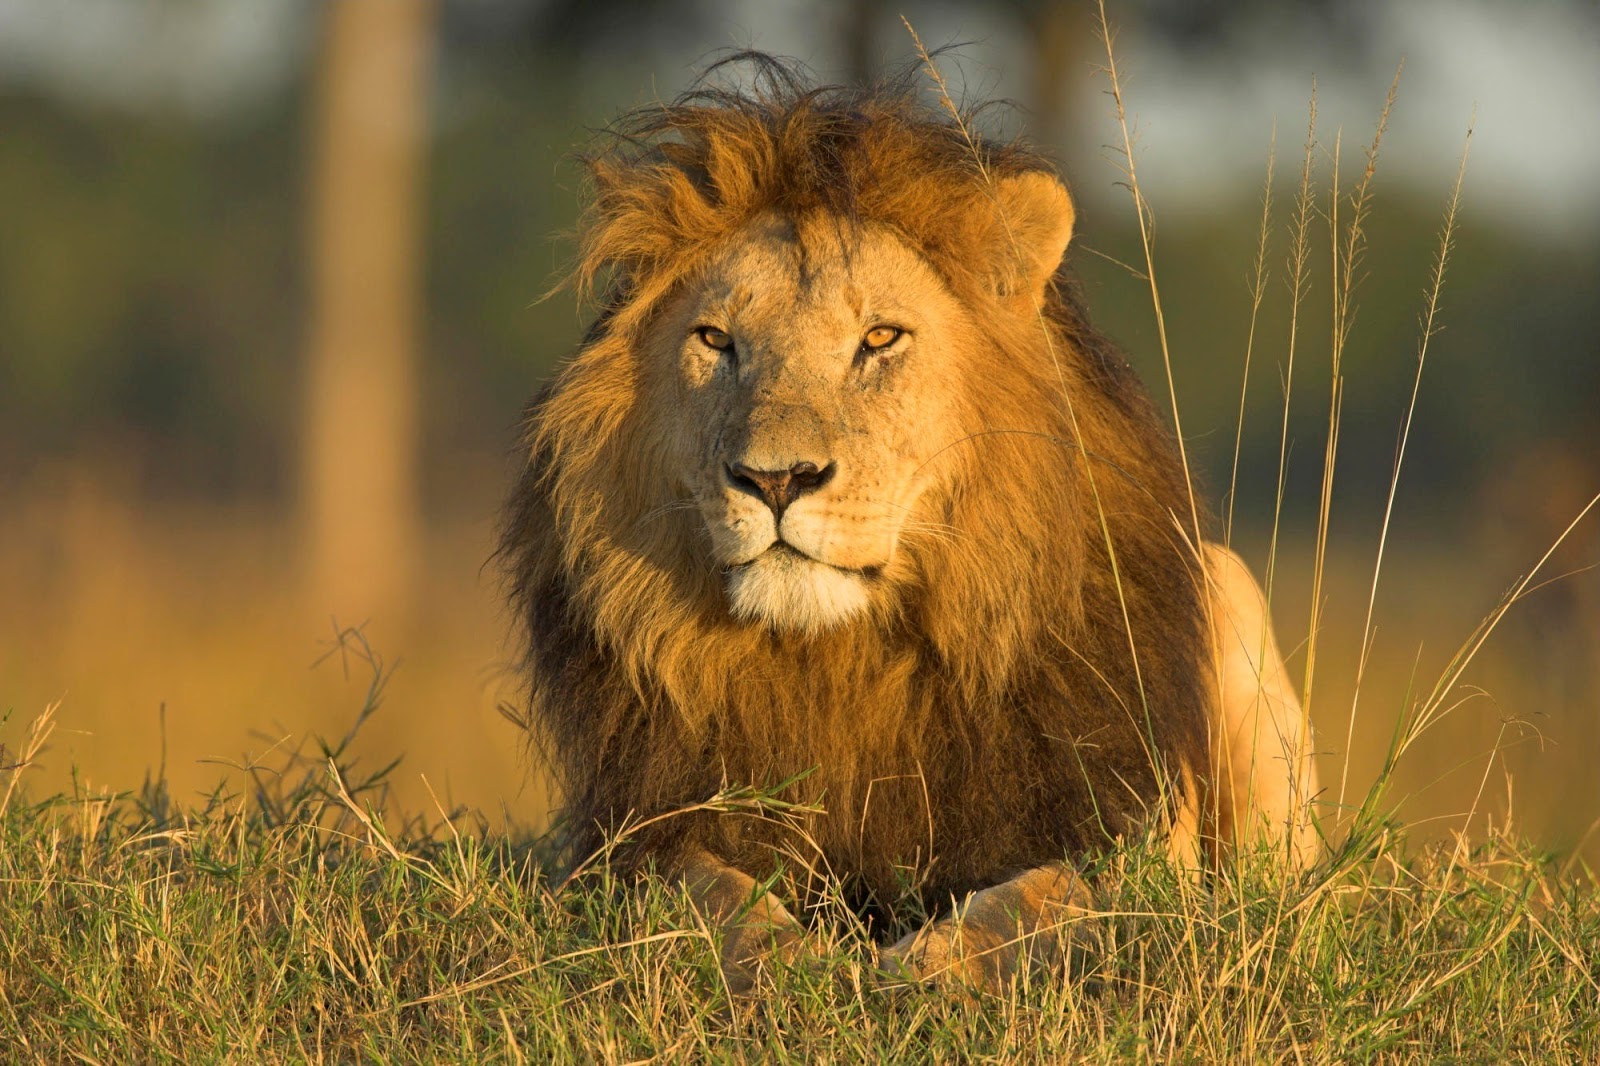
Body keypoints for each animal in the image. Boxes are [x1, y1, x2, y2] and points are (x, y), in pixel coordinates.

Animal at [505, 56, 1318, 985]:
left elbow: (1041, 900)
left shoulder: (1121, 830)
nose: (775, 478)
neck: (840, 663)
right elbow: (706, 891)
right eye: (715, 341)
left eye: (880, 339)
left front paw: (927, 968)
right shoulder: (637, 833)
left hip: (1231, 593)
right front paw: (794, 965)